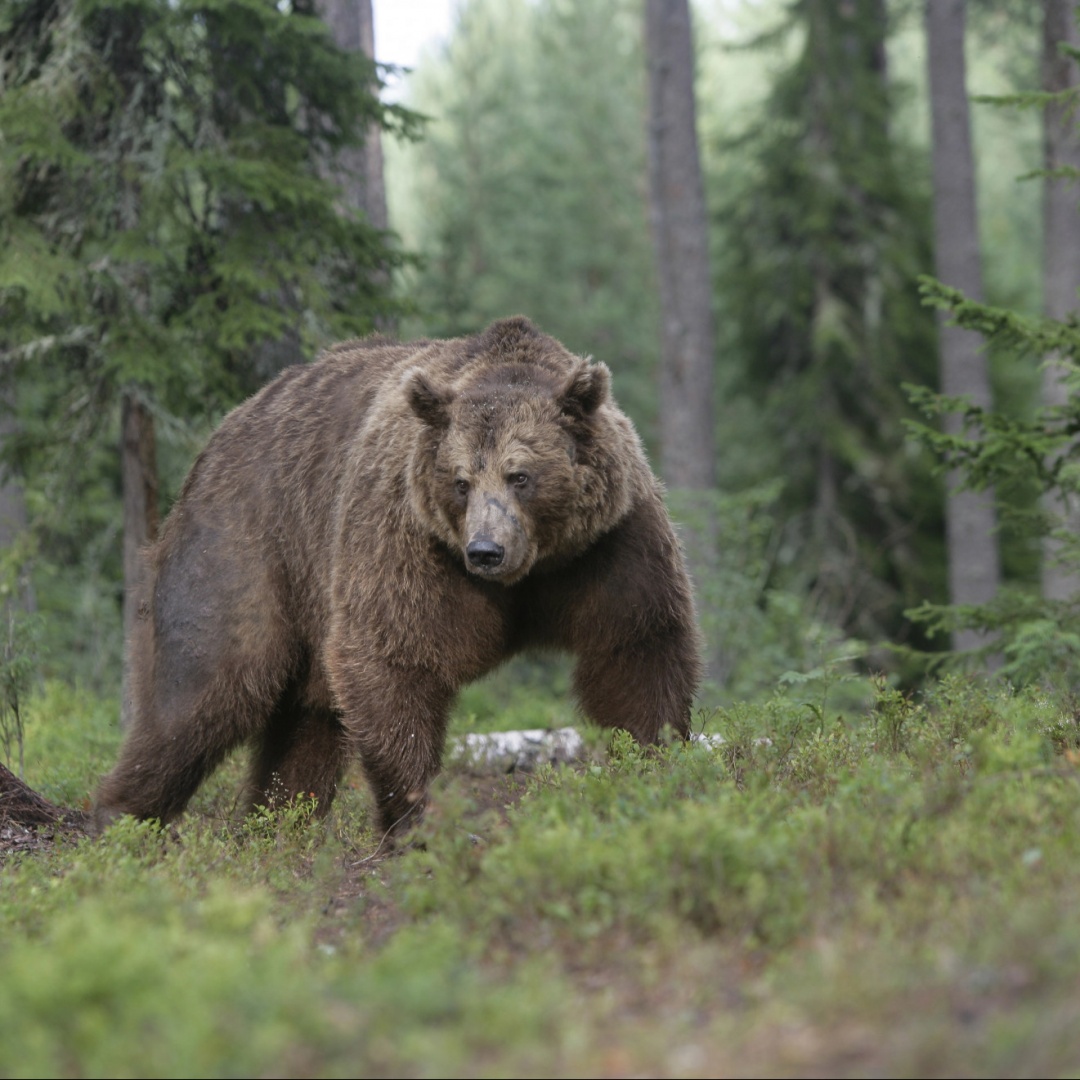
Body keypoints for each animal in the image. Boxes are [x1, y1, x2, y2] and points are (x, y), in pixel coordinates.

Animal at [93, 316, 702, 840]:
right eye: (460, 481)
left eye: (520, 475)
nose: (485, 551)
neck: (532, 569)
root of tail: (224, 430)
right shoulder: (406, 538)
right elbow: (393, 657)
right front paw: (416, 817)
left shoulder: (608, 545)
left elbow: (636, 646)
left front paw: (653, 761)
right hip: (245, 549)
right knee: (202, 693)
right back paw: (118, 817)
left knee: (305, 728)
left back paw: (277, 823)